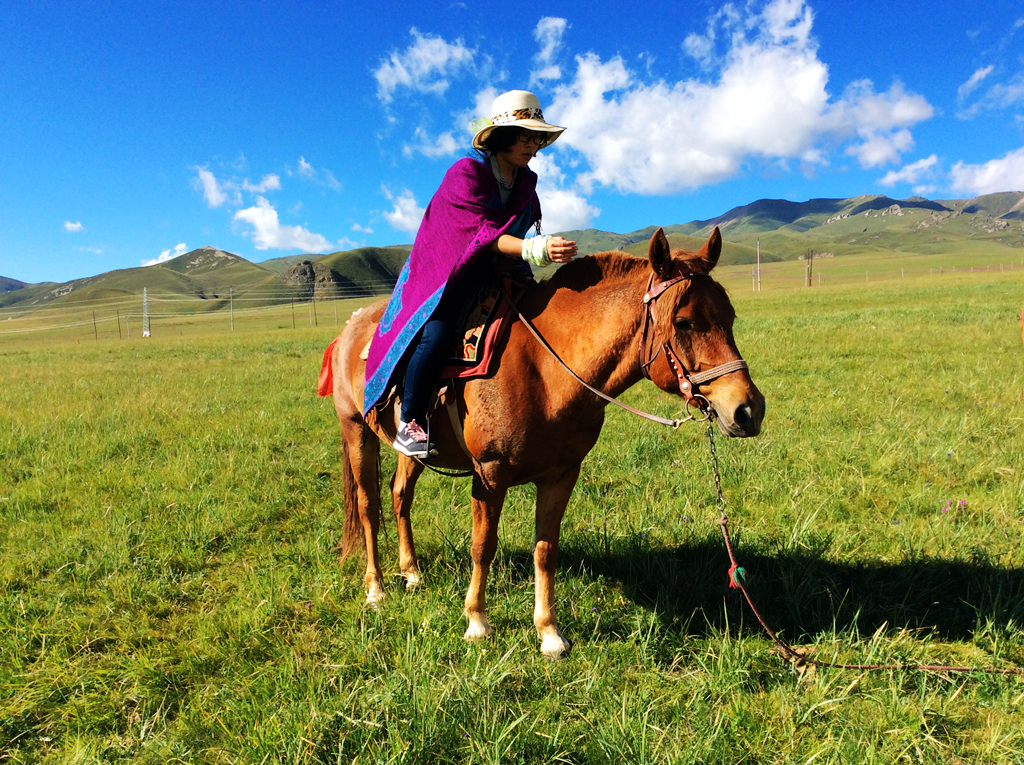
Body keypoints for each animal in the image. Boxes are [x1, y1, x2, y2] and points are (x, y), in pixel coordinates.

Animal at [323, 226, 765, 659]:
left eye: (730, 316)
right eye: (685, 321)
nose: (748, 410)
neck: (545, 367)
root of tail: (351, 326)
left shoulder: (562, 473)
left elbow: (545, 549)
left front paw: (549, 633)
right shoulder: (490, 474)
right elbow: (483, 545)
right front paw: (477, 622)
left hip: (410, 449)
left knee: (400, 496)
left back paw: (412, 572)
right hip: (356, 430)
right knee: (369, 505)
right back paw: (376, 588)